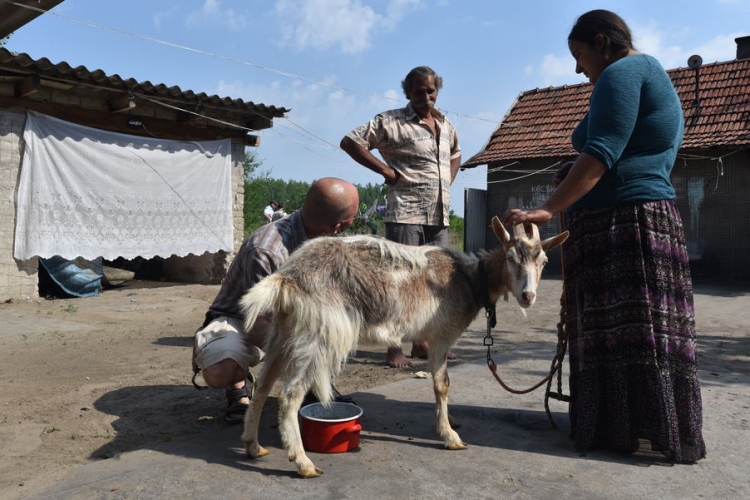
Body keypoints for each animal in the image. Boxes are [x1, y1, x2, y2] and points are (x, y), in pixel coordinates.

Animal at [241, 216, 568, 476]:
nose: (528, 296)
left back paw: (254, 447)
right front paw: (449, 436)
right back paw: (303, 463)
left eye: (544, 262)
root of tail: (288, 277)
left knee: (263, 385)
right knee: (289, 395)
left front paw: (449, 421)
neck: (469, 279)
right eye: (511, 258)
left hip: (284, 333)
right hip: (319, 337)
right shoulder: (441, 336)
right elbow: (442, 384)